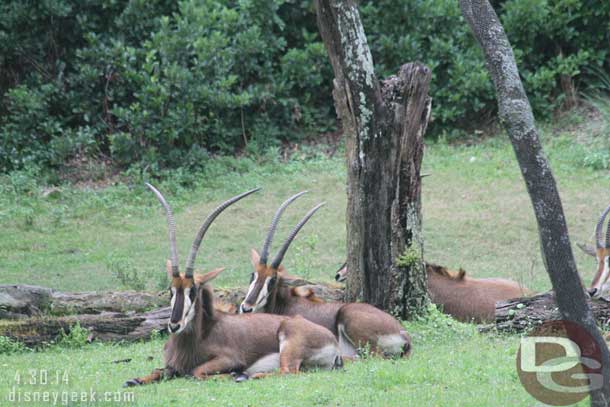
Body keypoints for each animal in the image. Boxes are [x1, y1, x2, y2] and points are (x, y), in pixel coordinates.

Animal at [123, 186, 342, 388]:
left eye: (192, 291)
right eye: (171, 289)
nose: (174, 325)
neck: (203, 333)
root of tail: (333, 342)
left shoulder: (228, 359)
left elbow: (196, 372)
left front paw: (234, 374)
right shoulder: (171, 365)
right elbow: (157, 371)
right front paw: (134, 380)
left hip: (288, 346)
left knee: (288, 371)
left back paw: (246, 376)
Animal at [238, 193, 408, 358]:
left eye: (272, 280)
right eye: (253, 275)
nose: (246, 308)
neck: (285, 304)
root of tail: (404, 335)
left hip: (351, 321)